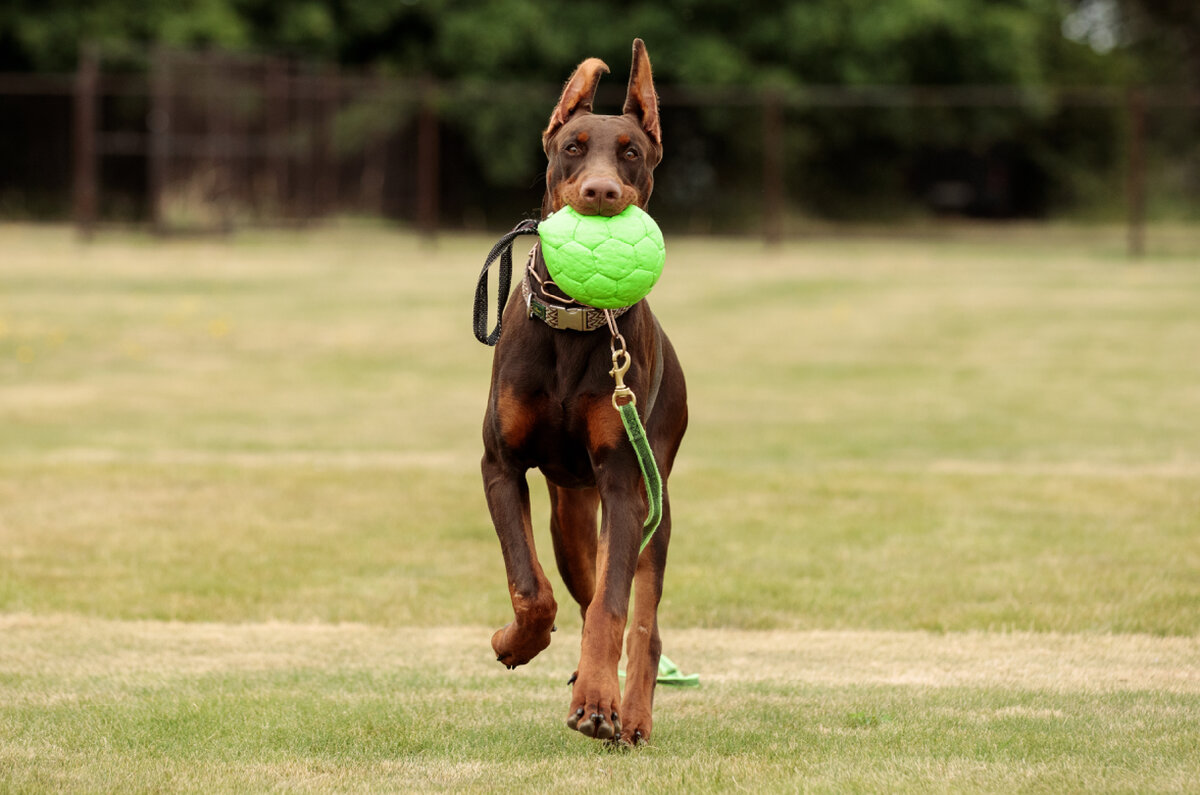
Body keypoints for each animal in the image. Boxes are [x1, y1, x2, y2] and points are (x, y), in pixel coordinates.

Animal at [475, 39, 686, 749]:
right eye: (573, 146)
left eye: (632, 153)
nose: (601, 192)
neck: (576, 321)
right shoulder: (500, 464)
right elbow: (530, 586)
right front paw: (514, 642)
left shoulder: (624, 482)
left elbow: (613, 607)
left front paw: (597, 701)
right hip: (569, 515)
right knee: (582, 581)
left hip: (655, 499)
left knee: (642, 620)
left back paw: (632, 715)